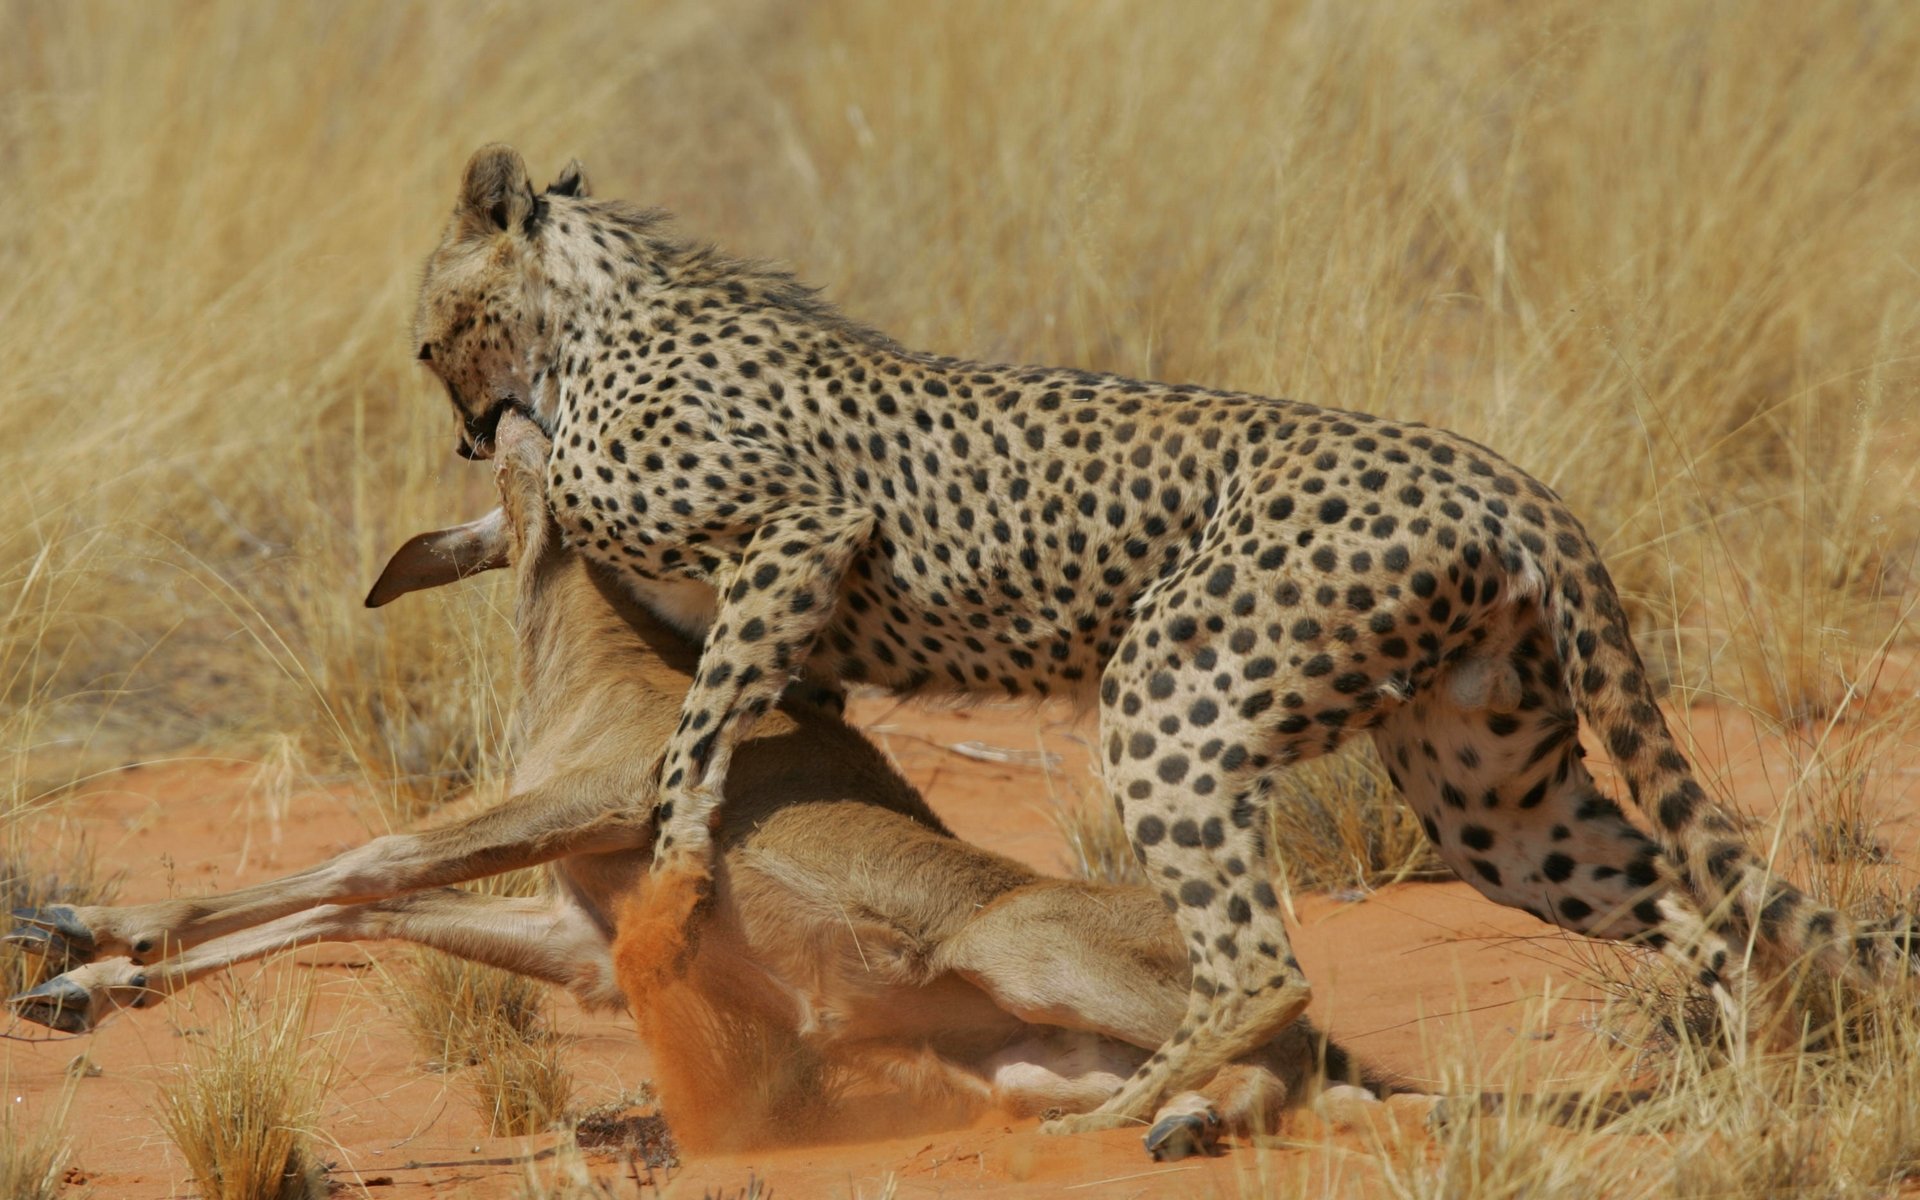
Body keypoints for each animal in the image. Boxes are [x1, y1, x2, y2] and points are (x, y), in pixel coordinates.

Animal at [7, 408, 1405, 1152]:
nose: (505, 417)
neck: (593, 663)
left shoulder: (597, 807)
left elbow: (371, 864)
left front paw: (86, 926)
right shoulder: (576, 935)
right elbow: (370, 909)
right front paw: (79, 980)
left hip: (1029, 952)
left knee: (1285, 1022)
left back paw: (1184, 1125)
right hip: (1023, 1061)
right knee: (1290, 1068)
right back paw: (1180, 1119)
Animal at [412, 144, 1912, 1128]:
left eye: (430, 335)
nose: (463, 433)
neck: (600, 313)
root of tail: (1489, 465)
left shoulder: (801, 533)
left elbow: (696, 737)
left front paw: (668, 912)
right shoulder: (806, 628)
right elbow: (766, 739)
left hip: (1173, 698)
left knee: (1261, 966)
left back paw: (1115, 1113)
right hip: (1494, 795)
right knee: (1698, 911)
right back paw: (1733, 1100)